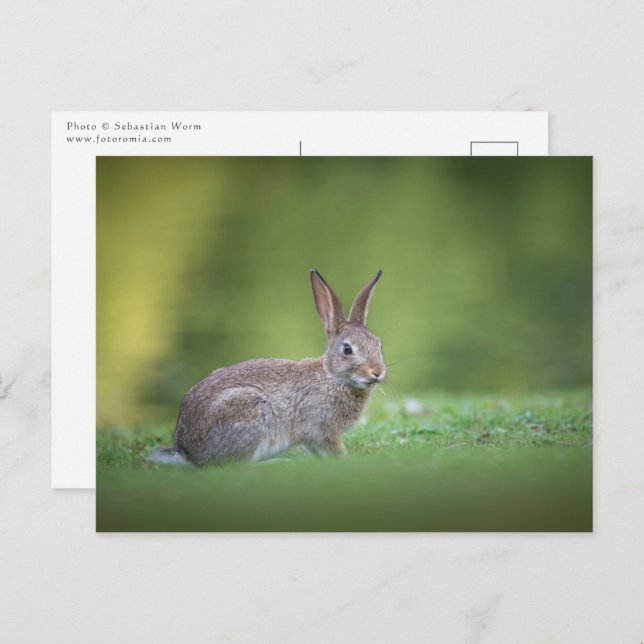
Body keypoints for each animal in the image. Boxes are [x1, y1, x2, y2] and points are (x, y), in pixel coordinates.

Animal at [149, 269, 386, 467]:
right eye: (347, 349)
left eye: (379, 344)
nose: (378, 372)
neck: (332, 378)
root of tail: (188, 452)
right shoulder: (320, 428)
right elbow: (332, 448)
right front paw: (349, 460)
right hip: (249, 412)